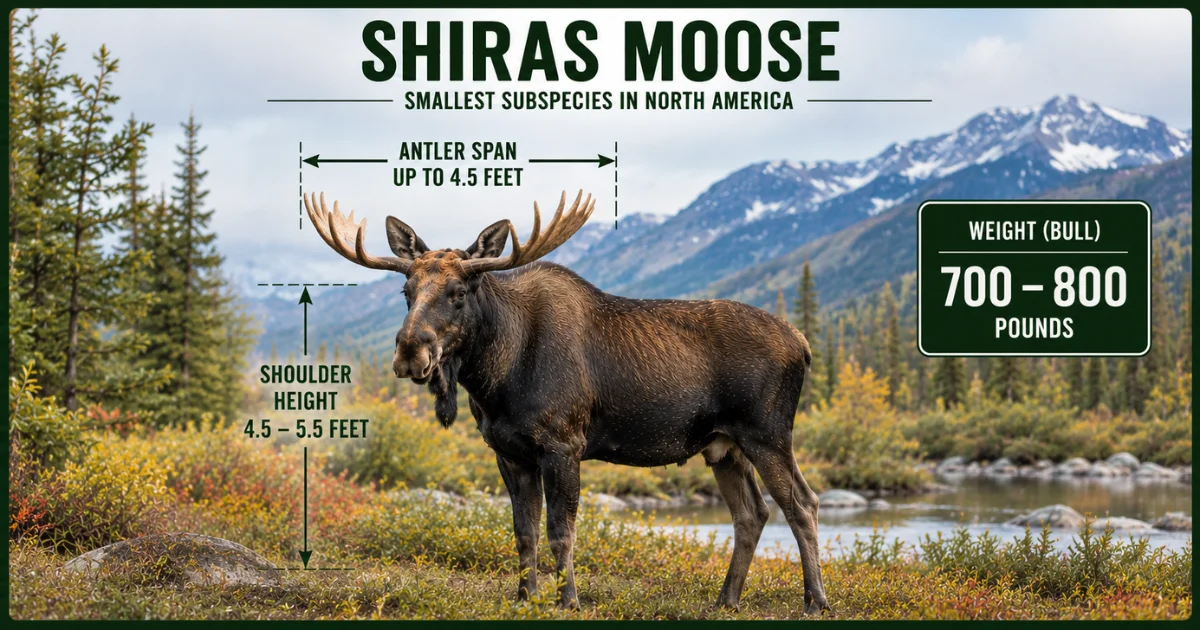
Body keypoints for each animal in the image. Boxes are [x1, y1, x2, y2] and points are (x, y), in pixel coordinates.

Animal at [303, 190, 830, 614]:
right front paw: (524, 596)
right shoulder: (509, 452)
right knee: (752, 514)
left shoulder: (563, 444)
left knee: (802, 503)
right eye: (406, 290)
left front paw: (568, 599)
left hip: (767, 434)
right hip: (722, 445)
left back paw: (815, 600)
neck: (494, 378)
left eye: (459, 292)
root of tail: (803, 343)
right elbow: (524, 531)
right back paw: (726, 599)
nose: (411, 351)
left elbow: (561, 530)